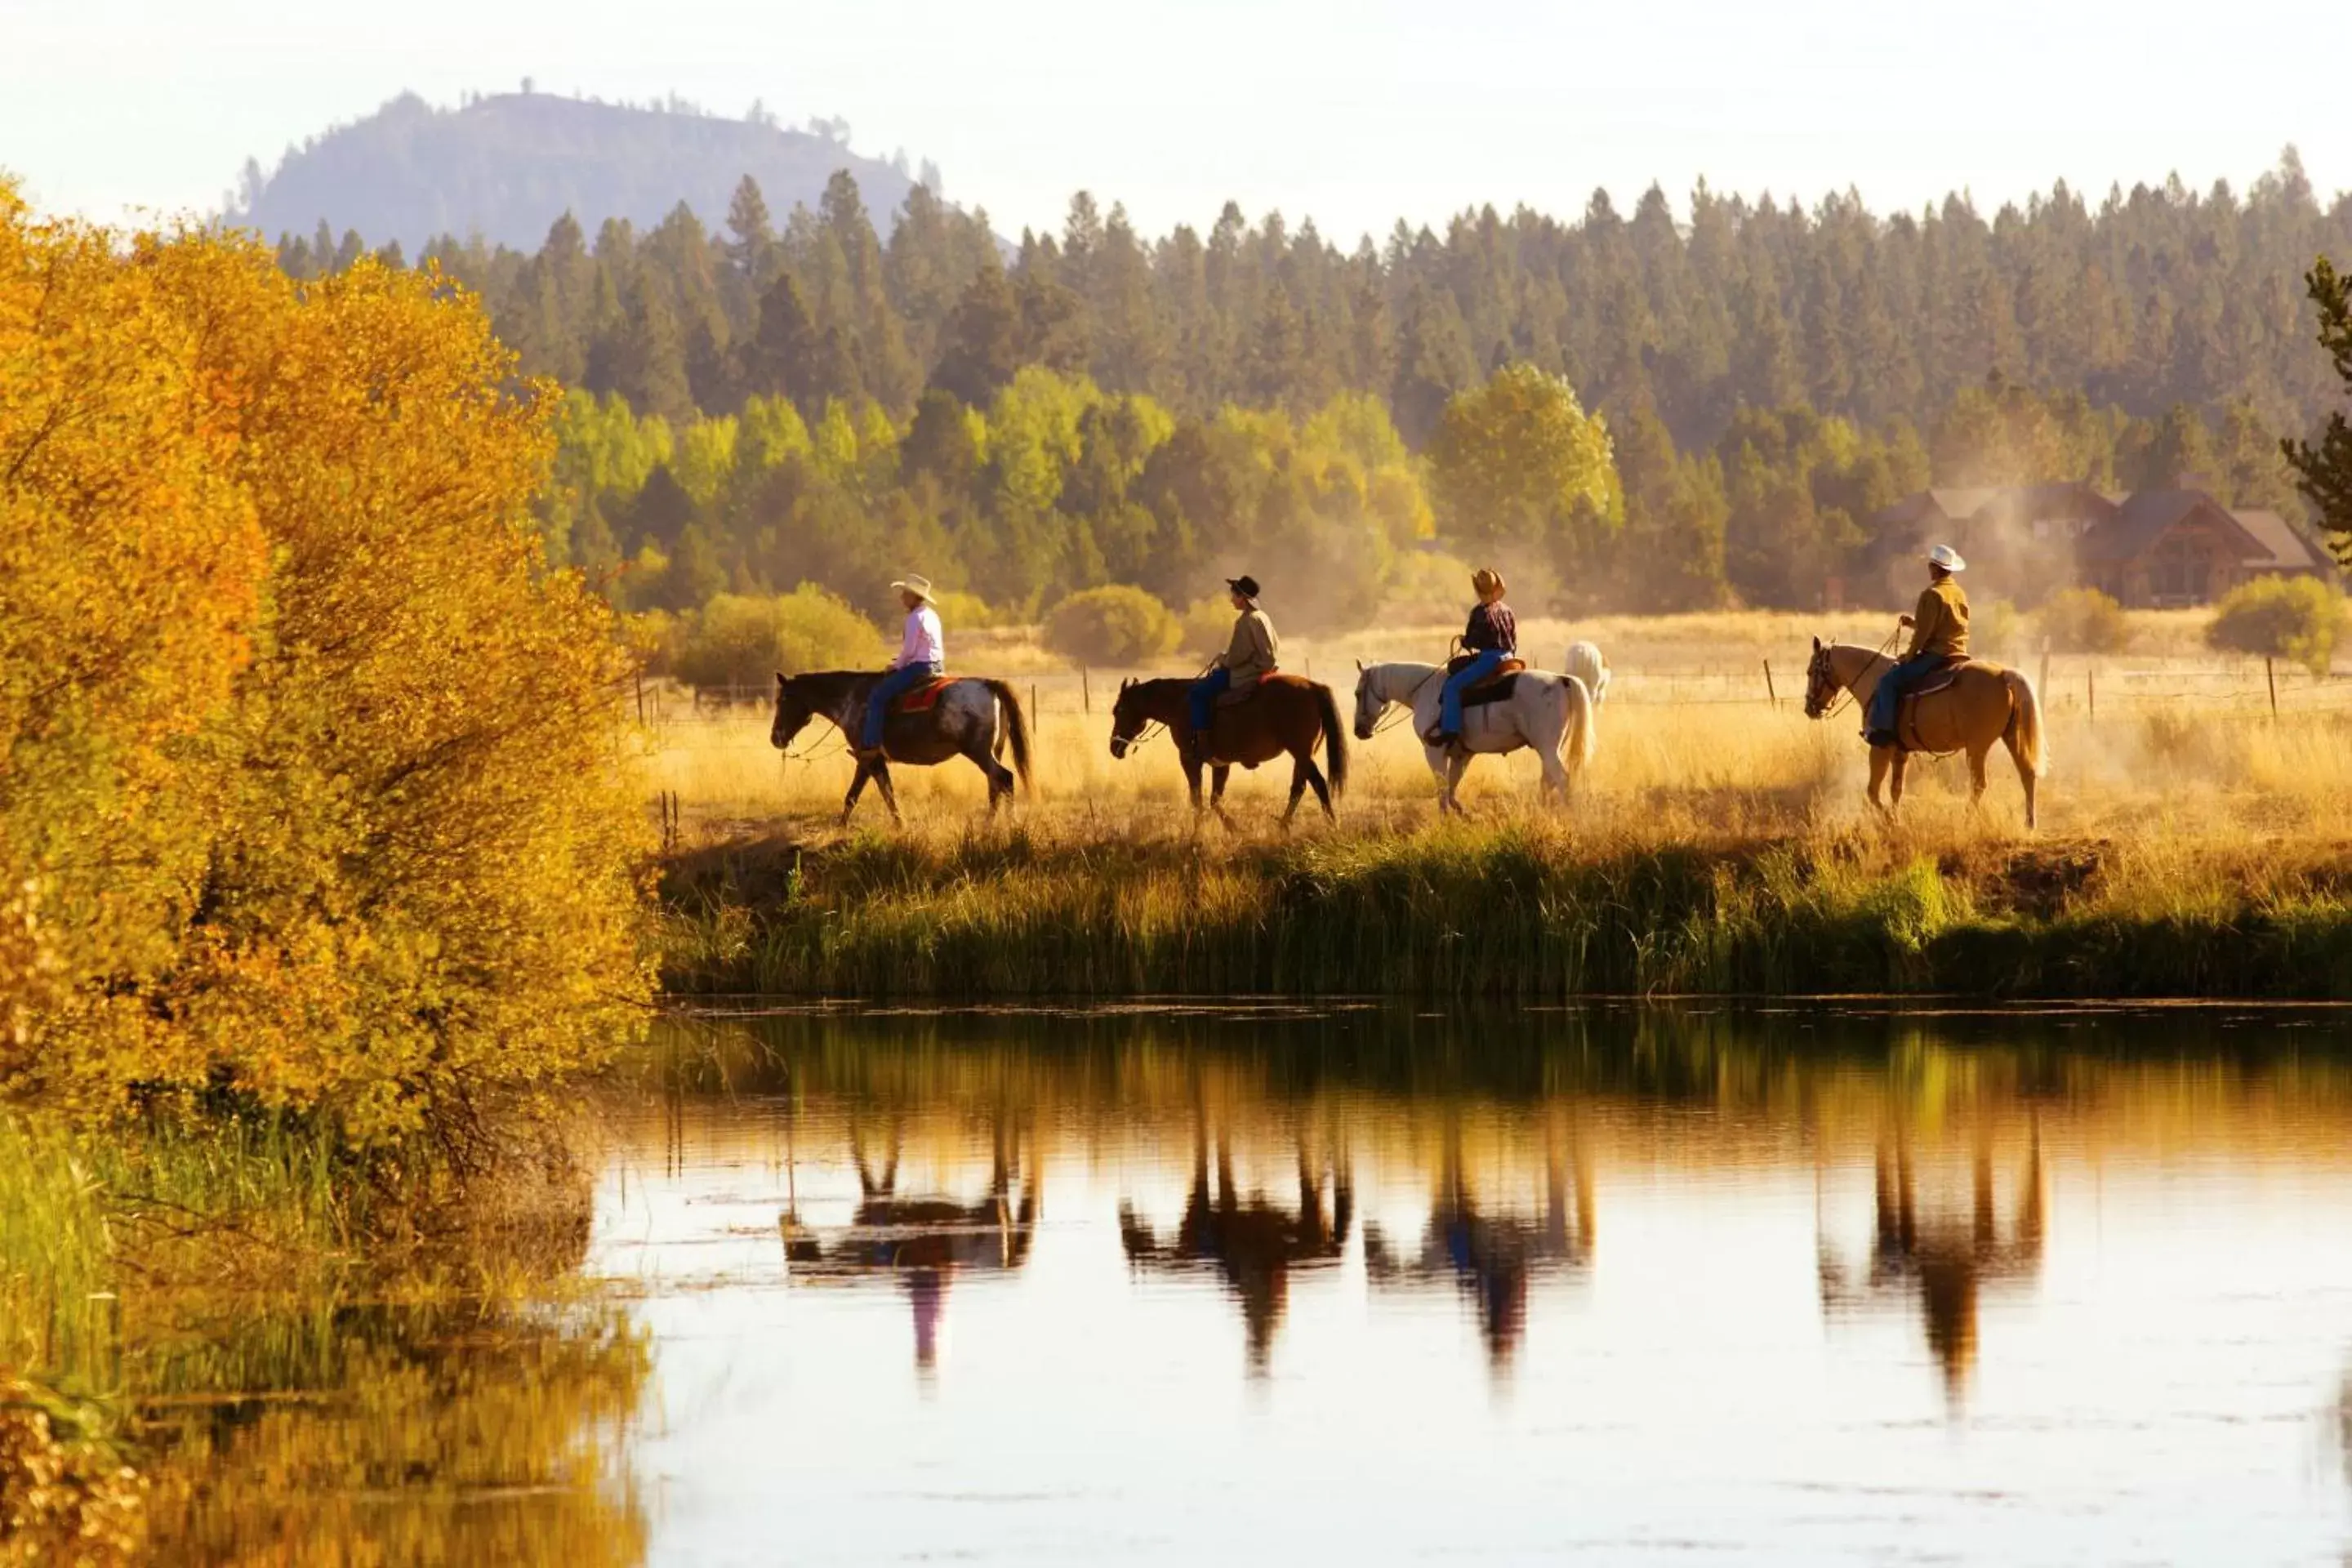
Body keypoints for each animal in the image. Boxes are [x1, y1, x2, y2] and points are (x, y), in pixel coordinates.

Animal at [771, 667, 1030, 827]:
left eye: (782, 699)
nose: (775, 738)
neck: (852, 699)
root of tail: (989, 685)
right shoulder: (875, 760)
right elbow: (886, 792)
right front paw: (899, 824)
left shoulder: (866, 757)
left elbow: (854, 795)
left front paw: (841, 827)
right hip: (993, 751)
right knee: (995, 784)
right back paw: (989, 825)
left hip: (978, 752)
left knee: (1005, 778)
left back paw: (1011, 823)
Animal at [1110, 667, 1354, 827]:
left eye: (1119, 710)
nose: (1114, 747)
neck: (1179, 703)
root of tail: (1313, 686)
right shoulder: (1221, 764)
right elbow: (1215, 800)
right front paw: (1234, 830)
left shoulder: (1189, 759)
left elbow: (1198, 800)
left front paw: (1198, 835)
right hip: (1302, 755)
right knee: (1300, 787)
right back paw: (1285, 825)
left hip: (1300, 752)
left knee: (1318, 784)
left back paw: (1330, 825)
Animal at [1345, 657, 1599, 817]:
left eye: (1357, 694)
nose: (1359, 731)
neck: (1425, 691)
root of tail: (1560, 679)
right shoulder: (1462, 754)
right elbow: (1452, 787)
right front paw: (1463, 814)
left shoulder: (1433, 750)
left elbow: (1442, 788)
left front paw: (1445, 820)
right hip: (1549, 748)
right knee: (1548, 781)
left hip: (1546, 748)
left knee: (1562, 780)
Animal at [1797, 639, 2041, 832]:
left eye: (1810, 671)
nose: (1810, 708)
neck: (1874, 681)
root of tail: (2003, 675)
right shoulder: (1900, 751)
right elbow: (1896, 789)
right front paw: (1896, 819)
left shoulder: (1880, 747)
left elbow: (1873, 791)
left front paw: (1889, 820)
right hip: (2012, 738)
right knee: (2027, 774)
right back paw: (2029, 823)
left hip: (1977, 747)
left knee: (1979, 784)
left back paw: (1967, 819)